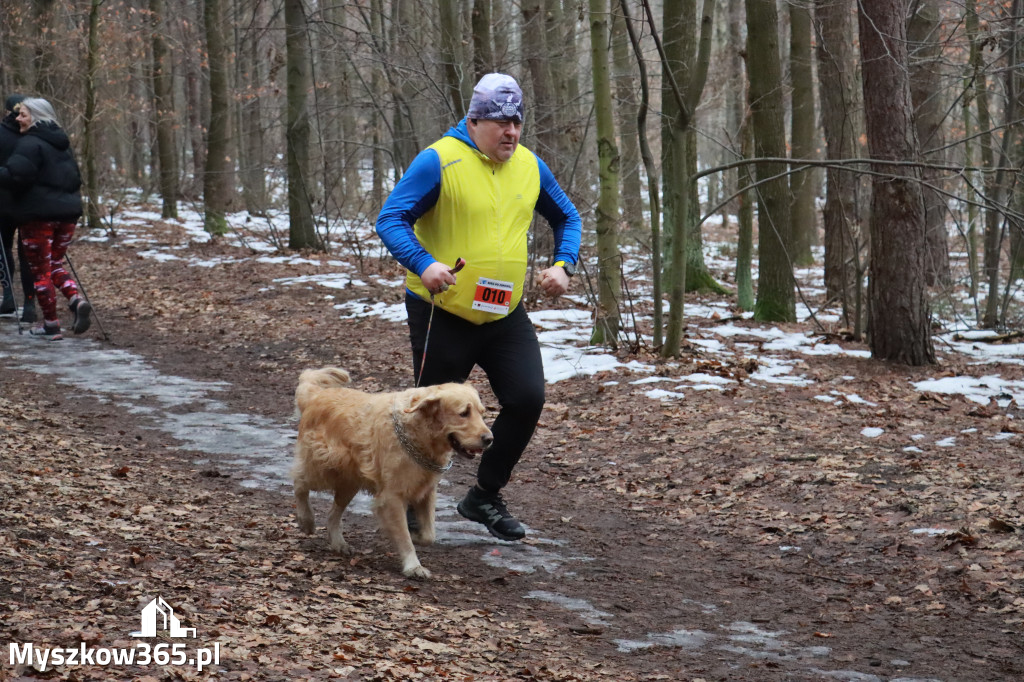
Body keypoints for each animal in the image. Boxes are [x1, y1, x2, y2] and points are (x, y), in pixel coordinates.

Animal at [290, 366, 493, 577]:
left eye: (482, 413)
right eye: (464, 413)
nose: (490, 439)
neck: (418, 434)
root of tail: (317, 395)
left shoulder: (427, 490)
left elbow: (429, 535)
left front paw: (417, 536)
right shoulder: (392, 497)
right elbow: (404, 537)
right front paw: (413, 566)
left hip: (350, 481)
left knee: (333, 513)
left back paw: (338, 542)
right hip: (323, 467)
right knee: (299, 483)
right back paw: (306, 520)